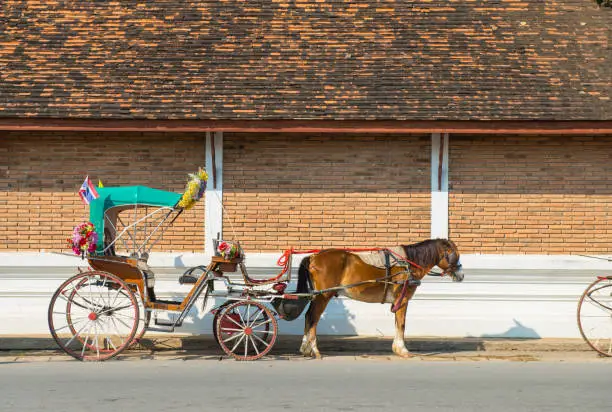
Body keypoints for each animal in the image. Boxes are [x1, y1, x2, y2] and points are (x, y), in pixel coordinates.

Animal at [296, 238, 464, 358]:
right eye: (454, 254)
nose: (461, 275)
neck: (408, 264)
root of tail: (314, 257)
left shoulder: (397, 302)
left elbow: (397, 323)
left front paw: (397, 348)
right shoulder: (402, 299)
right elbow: (402, 324)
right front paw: (402, 349)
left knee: (308, 316)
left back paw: (305, 348)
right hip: (323, 296)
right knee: (313, 318)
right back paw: (314, 349)